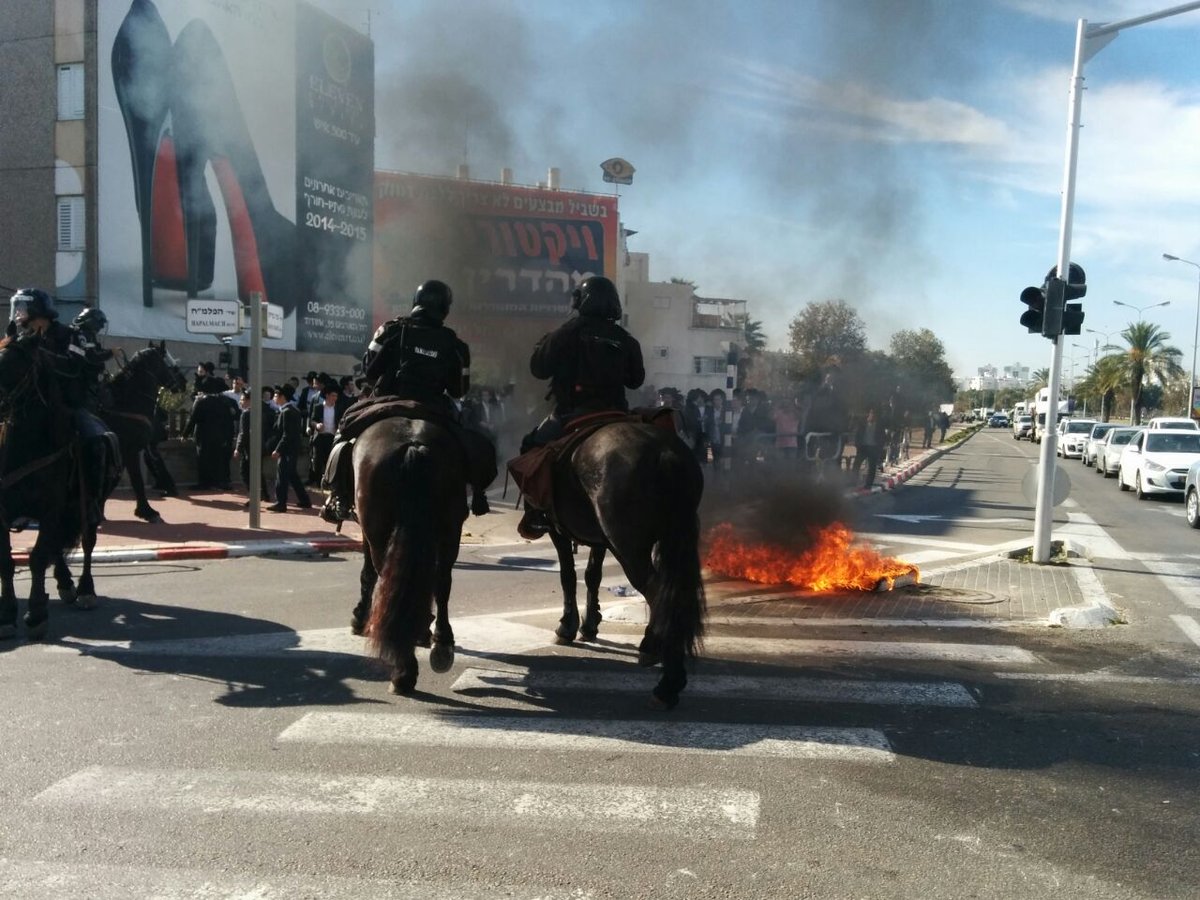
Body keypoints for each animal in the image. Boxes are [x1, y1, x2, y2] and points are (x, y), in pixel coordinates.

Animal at [0, 336, 85, 643]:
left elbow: (37, 557)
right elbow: (6, 560)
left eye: (8, 365)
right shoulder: (1, 510)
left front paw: (36, 614)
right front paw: (6, 615)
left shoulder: (52, 507)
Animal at [350, 415, 465, 696]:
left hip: (378, 530)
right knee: (441, 582)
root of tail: (413, 445)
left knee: (385, 579)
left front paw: (359, 617)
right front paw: (424, 630)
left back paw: (404, 671)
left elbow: (367, 574)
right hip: (450, 528)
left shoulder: (366, 531)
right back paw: (441, 644)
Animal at [542, 422, 700, 710]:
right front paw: (589, 625)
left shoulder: (557, 530)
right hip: (673, 538)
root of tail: (664, 452)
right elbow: (592, 575)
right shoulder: (599, 539)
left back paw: (666, 680)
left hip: (628, 547)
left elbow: (567, 575)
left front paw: (567, 627)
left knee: (657, 593)